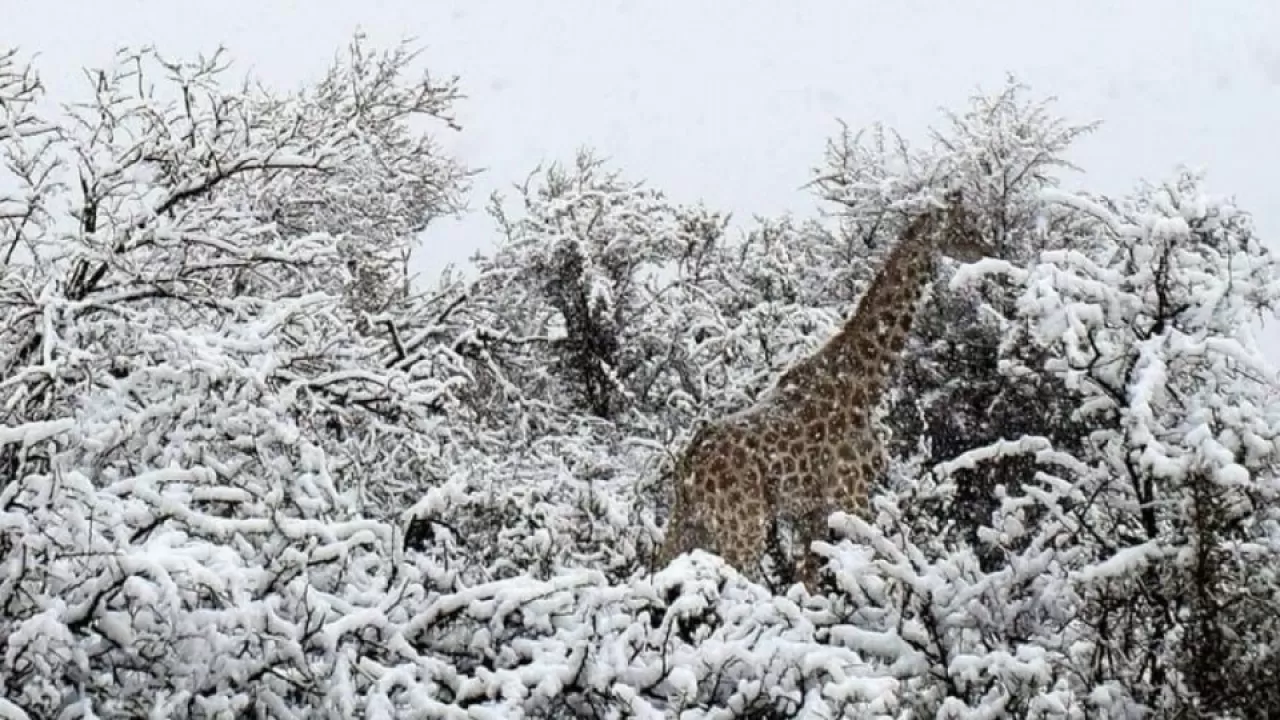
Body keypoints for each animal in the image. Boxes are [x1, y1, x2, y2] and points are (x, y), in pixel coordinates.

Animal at [655, 192, 983, 589]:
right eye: (964, 225)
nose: (987, 248)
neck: (865, 383)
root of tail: (688, 464)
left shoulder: (808, 511)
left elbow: (808, 583)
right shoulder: (851, 492)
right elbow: (870, 564)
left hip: (691, 523)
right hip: (742, 523)